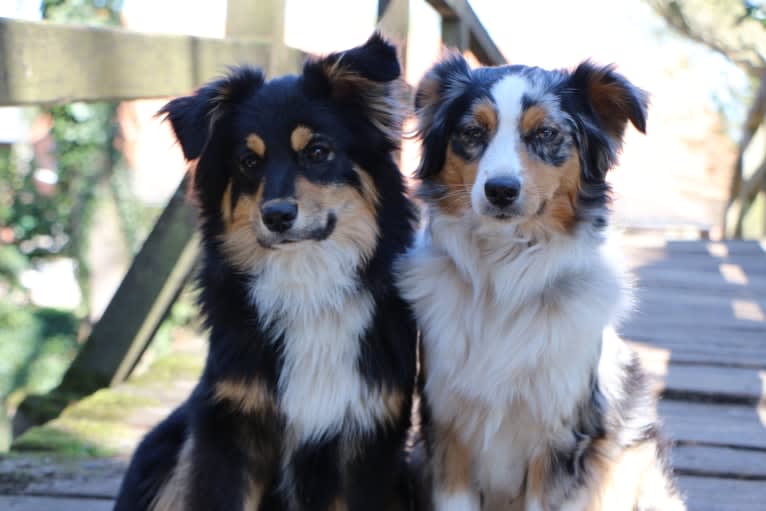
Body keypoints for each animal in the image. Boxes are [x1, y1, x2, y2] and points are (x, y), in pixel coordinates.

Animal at [115, 33, 420, 511]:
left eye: (317, 152)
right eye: (248, 161)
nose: (276, 216)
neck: (307, 283)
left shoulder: (370, 440)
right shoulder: (229, 426)